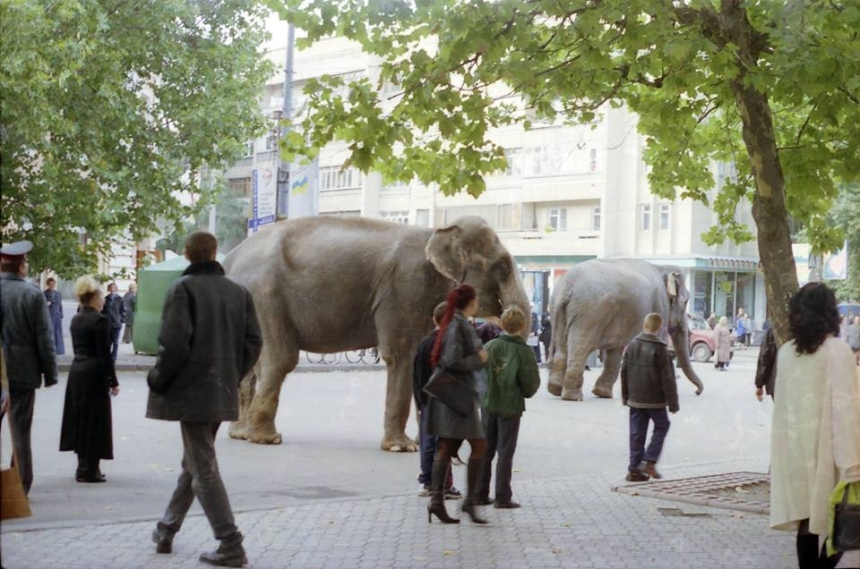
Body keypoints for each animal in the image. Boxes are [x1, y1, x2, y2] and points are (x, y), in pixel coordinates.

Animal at [222, 215, 532, 450]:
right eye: (503, 266)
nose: (508, 317)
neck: (437, 229)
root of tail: (231, 259)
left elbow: (426, 359)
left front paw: (424, 441)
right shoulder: (405, 286)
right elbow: (402, 355)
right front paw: (401, 447)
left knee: (256, 362)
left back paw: (242, 434)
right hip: (264, 293)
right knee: (281, 358)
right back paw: (265, 439)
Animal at [552, 260, 704, 400]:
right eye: (686, 301)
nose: (697, 392)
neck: (661, 266)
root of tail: (567, 286)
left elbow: (616, 351)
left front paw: (602, 394)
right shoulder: (660, 306)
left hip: (559, 312)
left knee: (562, 350)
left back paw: (556, 390)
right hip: (589, 314)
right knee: (581, 349)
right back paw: (573, 397)